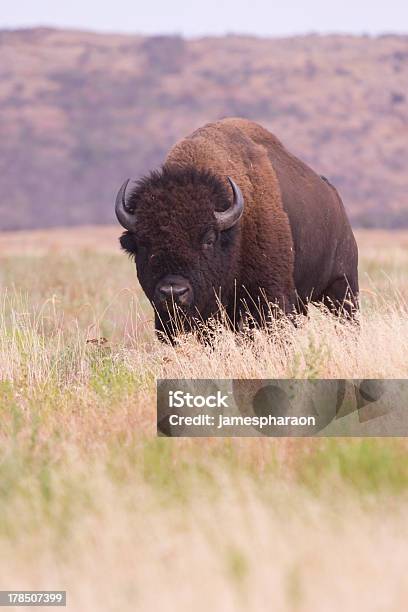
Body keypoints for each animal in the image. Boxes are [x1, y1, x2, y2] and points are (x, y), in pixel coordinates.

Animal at [115, 117, 356, 342]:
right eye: (143, 243)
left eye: (209, 239)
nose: (173, 292)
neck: (234, 234)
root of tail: (335, 199)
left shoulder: (270, 297)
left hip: (343, 288)